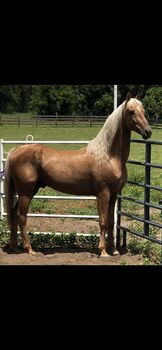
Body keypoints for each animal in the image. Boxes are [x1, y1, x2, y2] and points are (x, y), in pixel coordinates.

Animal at [4, 95, 153, 258]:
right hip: (26, 192)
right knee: (21, 217)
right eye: (131, 111)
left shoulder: (113, 195)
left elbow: (111, 222)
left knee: (13, 214)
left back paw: (15, 247)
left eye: (143, 110)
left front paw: (113, 250)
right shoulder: (103, 194)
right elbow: (103, 221)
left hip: (29, 191)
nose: (148, 131)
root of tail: (16, 150)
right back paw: (30, 249)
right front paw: (103, 251)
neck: (108, 155)